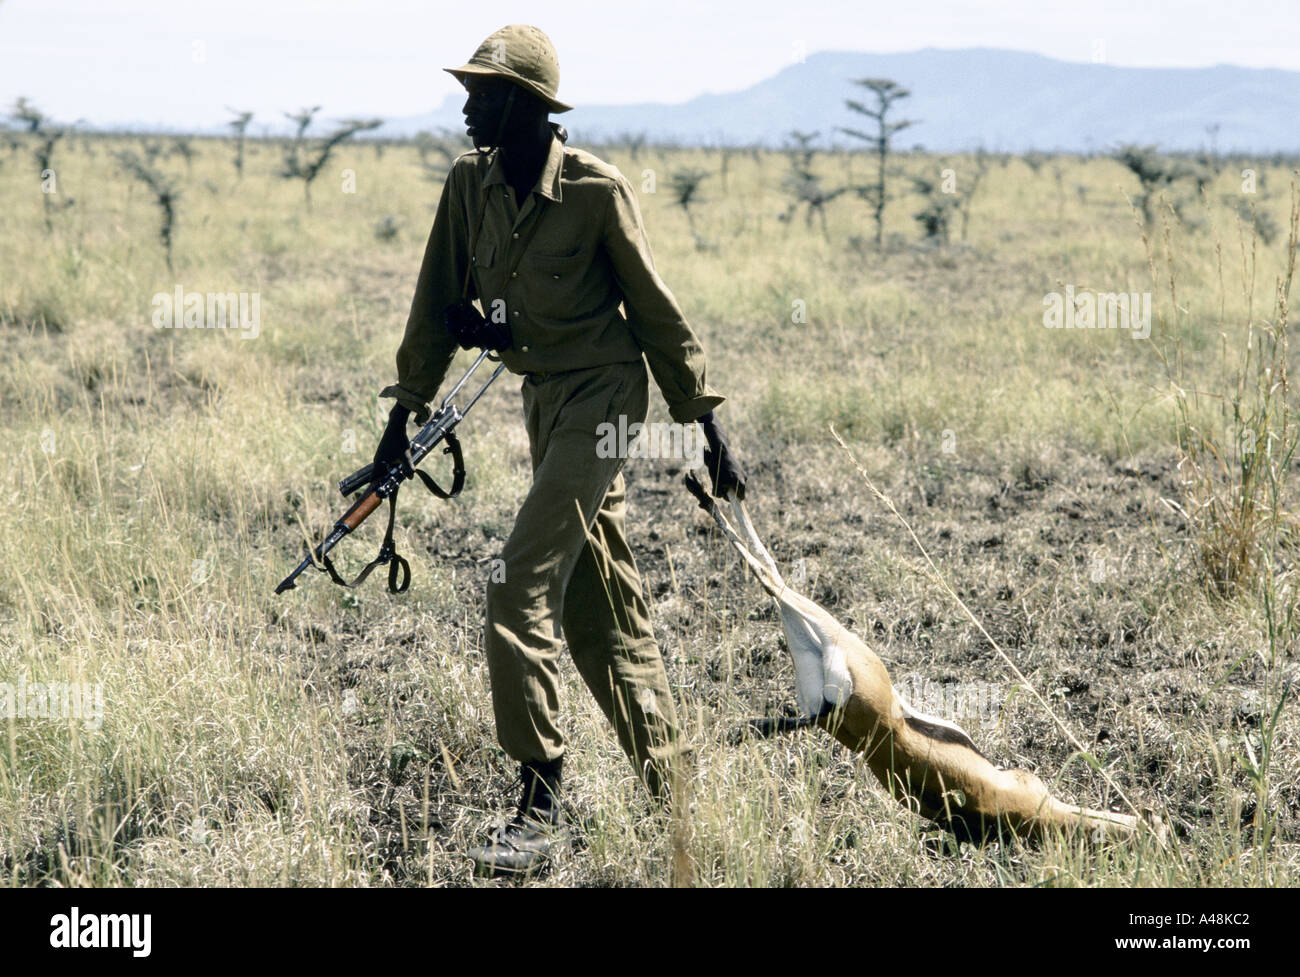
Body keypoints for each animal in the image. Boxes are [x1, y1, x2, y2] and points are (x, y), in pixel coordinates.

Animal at [686, 478, 1154, 841]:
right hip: (830, 637)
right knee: (770, 574)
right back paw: (711, 487)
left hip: (821, 646)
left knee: (771, 577)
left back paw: (707, 491)